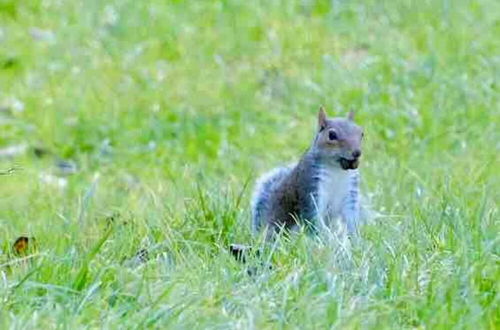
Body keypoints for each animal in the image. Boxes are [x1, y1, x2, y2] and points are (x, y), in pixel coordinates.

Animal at [250, 107, 364, 238]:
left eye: (361, 133)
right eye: (331, 135)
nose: (357, 152)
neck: (337, 169)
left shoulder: (350, 193)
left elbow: (351, 218)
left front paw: (355, 239)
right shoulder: (310, 185)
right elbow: (314, 219)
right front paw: (328, 239)